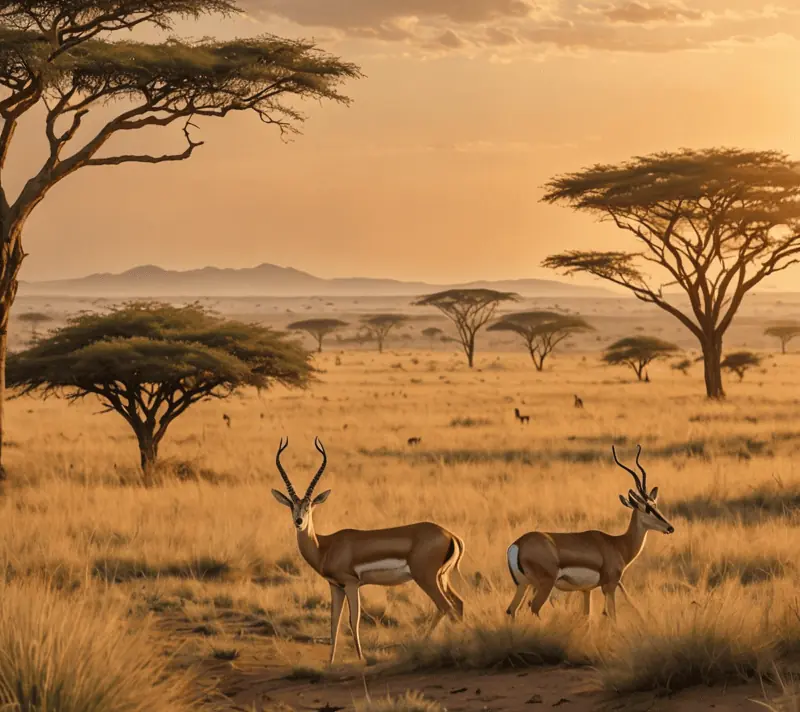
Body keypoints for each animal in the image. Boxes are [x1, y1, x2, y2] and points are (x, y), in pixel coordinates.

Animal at [271, 437, 466, 663]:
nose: (299, 522)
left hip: (426, 578)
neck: (325, 547)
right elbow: (334, 622)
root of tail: (450, 535)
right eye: (291, 506)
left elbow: (353, 620)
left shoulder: (351, 584)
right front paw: (331, 662)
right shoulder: (335, 586)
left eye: (309, 506)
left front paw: (361, 659)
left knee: (446, 607)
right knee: (458, 604)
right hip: (442, 578)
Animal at [505, 445, 674, 621]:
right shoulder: (610, 586)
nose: (670, 528)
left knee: (512, 610)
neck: (617, 544)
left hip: (523, 585)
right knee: (534, 607)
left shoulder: (587, 590)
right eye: (647, 509)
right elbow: (612, 614)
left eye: (655, 505)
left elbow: (587, 615)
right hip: (544, 585)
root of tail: (517, 544)